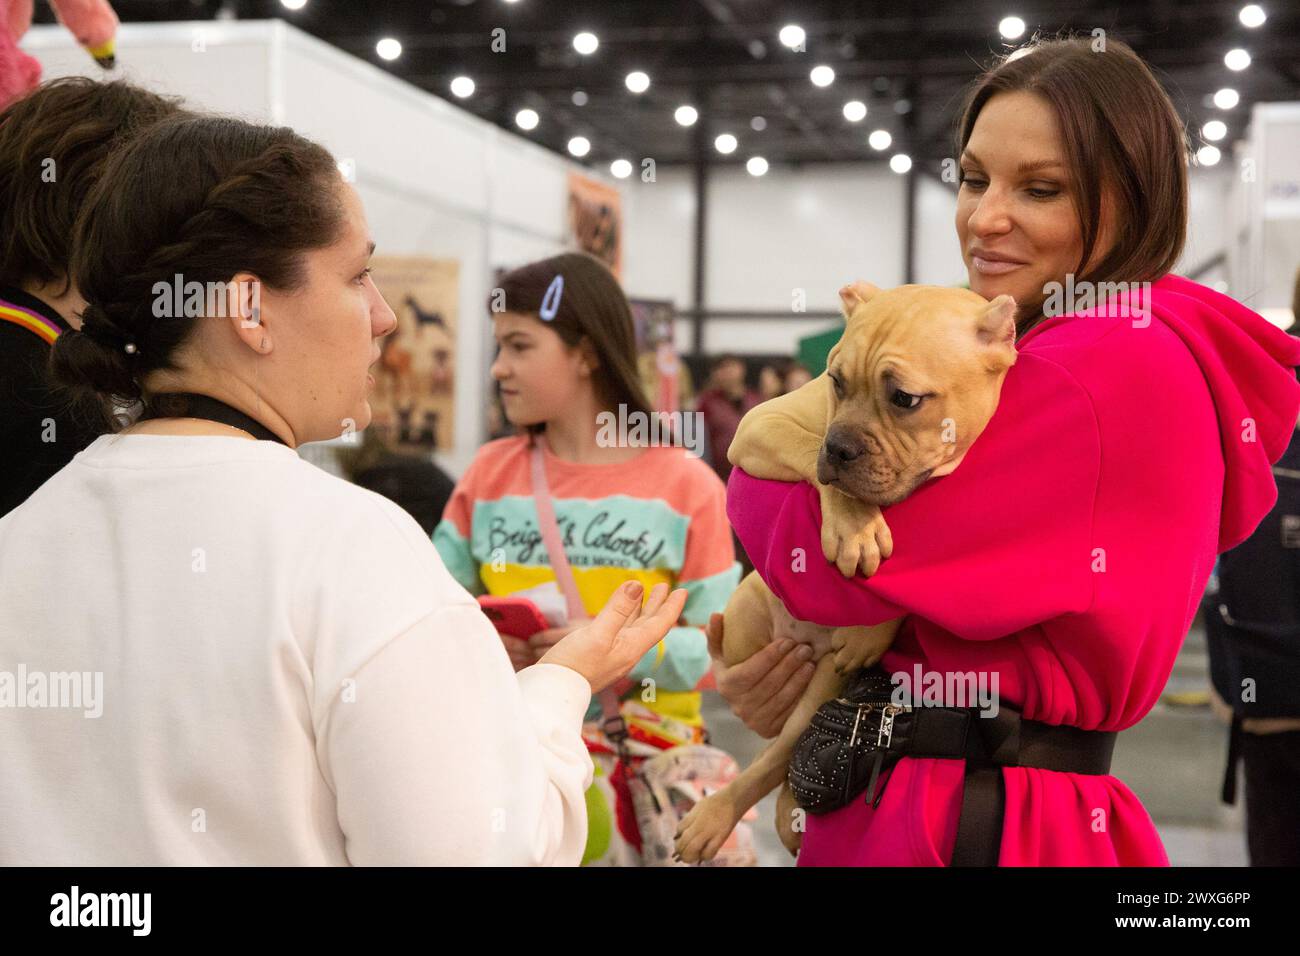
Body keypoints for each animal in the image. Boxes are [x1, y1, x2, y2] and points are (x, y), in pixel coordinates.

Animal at [676, 280, 1019, 863]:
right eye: (835, 381)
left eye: (904, 399)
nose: (839, 447)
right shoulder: (761, 423)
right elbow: (814, 458)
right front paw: (855, 525)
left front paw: (869, 628)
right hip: (747, 621)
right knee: (767, 754)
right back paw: (714, 816)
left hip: (824, 685)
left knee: (782, 754)